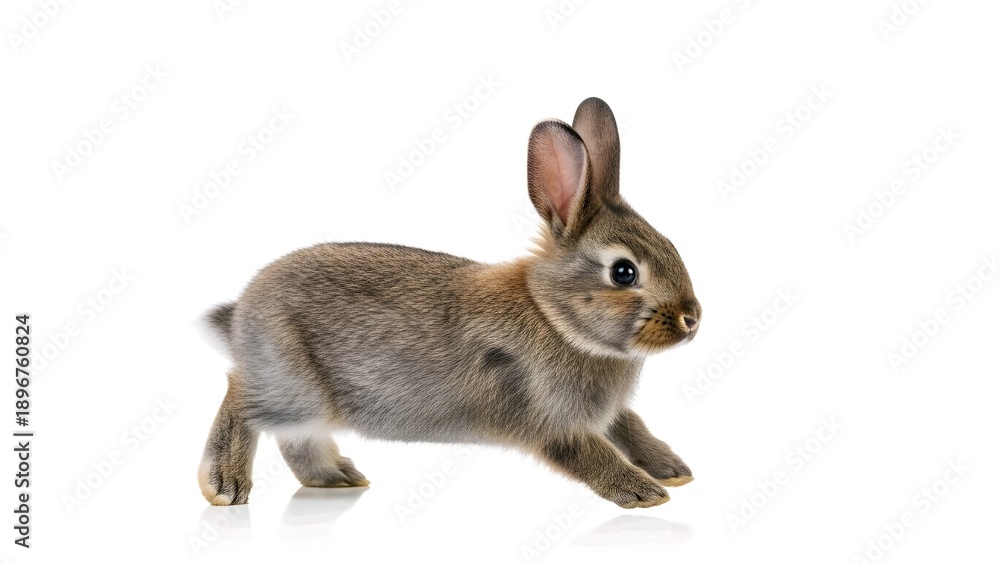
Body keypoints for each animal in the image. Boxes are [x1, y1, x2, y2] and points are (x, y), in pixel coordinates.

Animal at [198, 97, 701, 509]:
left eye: (670, 244)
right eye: (624, 272)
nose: (692, 318)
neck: (554, 316)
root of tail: (241, 314)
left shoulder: (607, 414)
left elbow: (631, 426)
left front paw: (674, 471)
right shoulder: (548, 417)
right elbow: (588, 452)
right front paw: (643, 493)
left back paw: (336, 477)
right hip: (294, 386)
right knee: (240, 395)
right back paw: (224, 485)